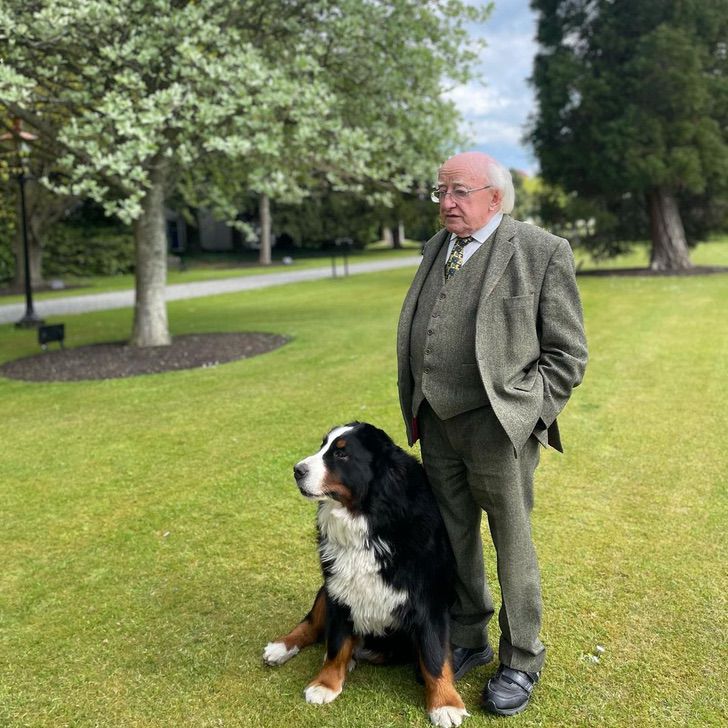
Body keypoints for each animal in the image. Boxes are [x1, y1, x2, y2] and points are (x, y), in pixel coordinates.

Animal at [264, 420, 470, 728]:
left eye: (341, 454)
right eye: (323, 446)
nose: (297, 470)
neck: (367, 521)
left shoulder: (429, 599)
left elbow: (434, 655)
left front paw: (445, 703)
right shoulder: (339, 590)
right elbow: (336, 643)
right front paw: (326, 683)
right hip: (325, 589)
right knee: (311, 624)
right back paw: (281, 647)